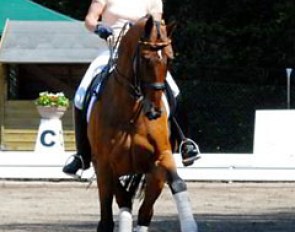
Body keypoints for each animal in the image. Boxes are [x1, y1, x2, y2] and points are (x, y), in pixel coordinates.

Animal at [88, 14, 199, 232]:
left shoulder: (161, 158)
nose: (154, 111)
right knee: (123, 202)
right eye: (145, 58)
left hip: (153, 176)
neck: (131, 114)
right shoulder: (104, 165)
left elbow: (178, 184)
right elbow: (107, 217)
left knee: (144, 211)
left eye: (169, 58)